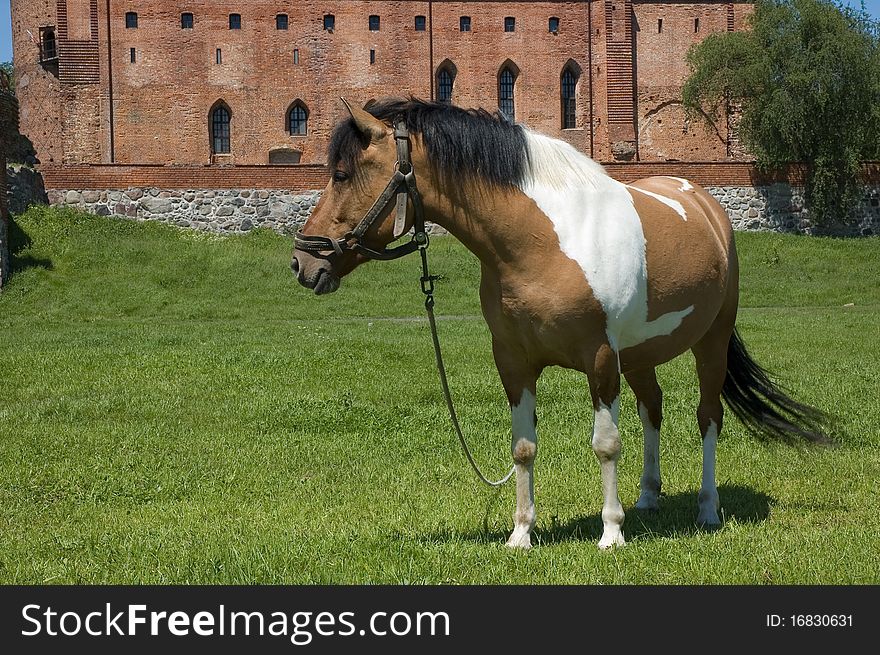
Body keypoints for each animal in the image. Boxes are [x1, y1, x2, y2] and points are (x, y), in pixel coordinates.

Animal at [292, 96, 828, 548]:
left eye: (342, 174)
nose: (302, 262)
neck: (542, 242)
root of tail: (703, 201)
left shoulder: (601, 360)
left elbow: (606, 444)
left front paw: (611, 532)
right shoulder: (514, 364)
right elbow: (523, 448)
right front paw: (521, 534)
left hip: (709, 342)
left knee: (708, 418)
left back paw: (707, 509)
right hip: (641, 356)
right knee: (653, 410)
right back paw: (648, 497)